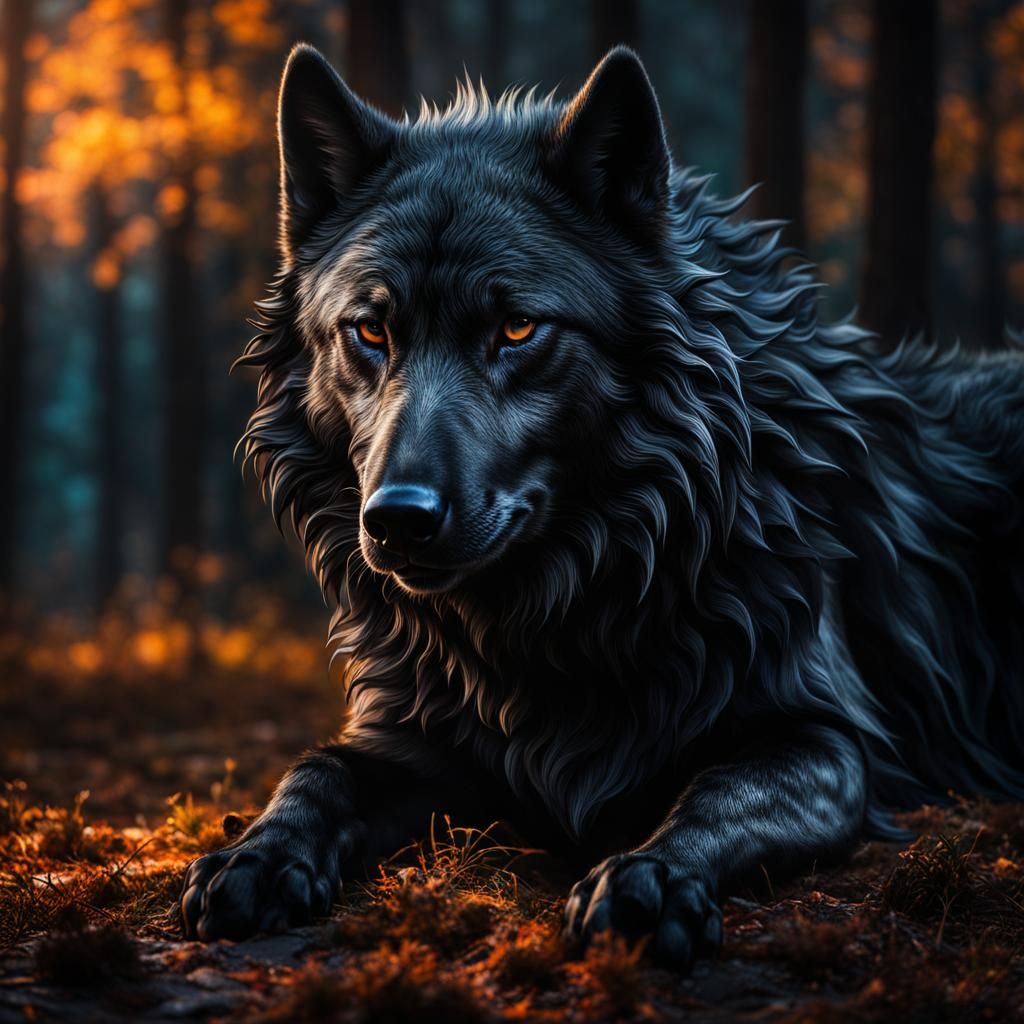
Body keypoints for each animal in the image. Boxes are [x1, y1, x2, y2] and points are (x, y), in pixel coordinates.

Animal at [180, 45, 1024, 968]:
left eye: (517, 329)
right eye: (370, 331)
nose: (399, 517)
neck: (565, 603)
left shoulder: (824, 738)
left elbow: (715, 795)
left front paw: (650, 876)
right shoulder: (413, 737)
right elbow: (316, 770)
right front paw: (256, 856)